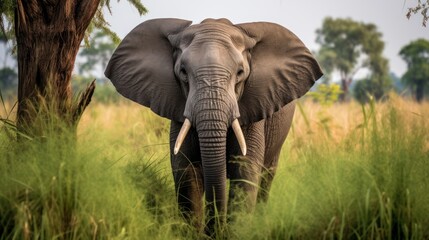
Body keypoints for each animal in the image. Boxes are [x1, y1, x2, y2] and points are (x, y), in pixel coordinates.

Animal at [105, 18, 322, 234]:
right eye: (183, 72)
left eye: (240, 73)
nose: (216, 228)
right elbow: (186, 172)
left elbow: (244, 172)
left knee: (266, 177)